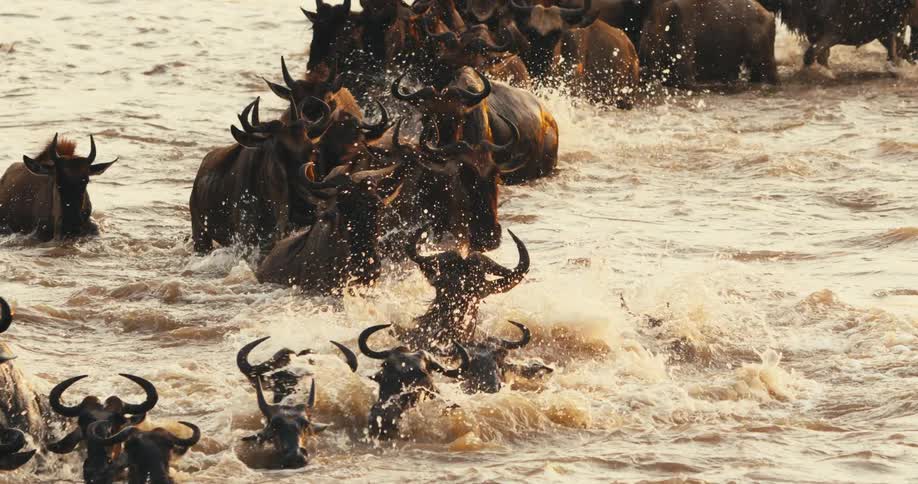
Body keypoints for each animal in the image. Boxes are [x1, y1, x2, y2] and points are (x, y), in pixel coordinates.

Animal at [757, 0, 914, 70]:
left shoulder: (835, 33)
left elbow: (809, 55)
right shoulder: (815, 35)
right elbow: (821, 57)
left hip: (896, 25)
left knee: (898, 51)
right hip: (883, 32)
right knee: (902, 52)